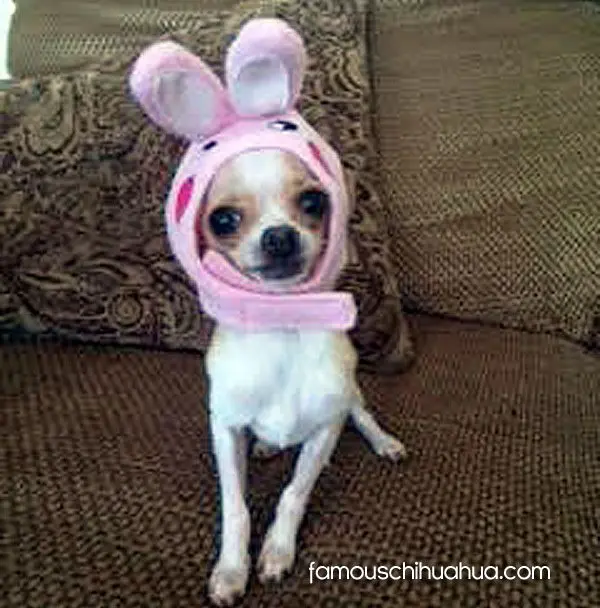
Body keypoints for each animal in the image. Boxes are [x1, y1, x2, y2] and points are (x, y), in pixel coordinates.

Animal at [130, 18, 407, 606]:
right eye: (224, 219)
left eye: (314, 203)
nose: (279, 236)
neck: (282, 326)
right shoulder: (225, 429)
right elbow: (235, 507)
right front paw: (232, 569)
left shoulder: (323, 431)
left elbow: (294, 494)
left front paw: (277, 551)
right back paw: (265, 447)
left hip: (351, 396)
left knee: (361, 413)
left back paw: (383, 441)